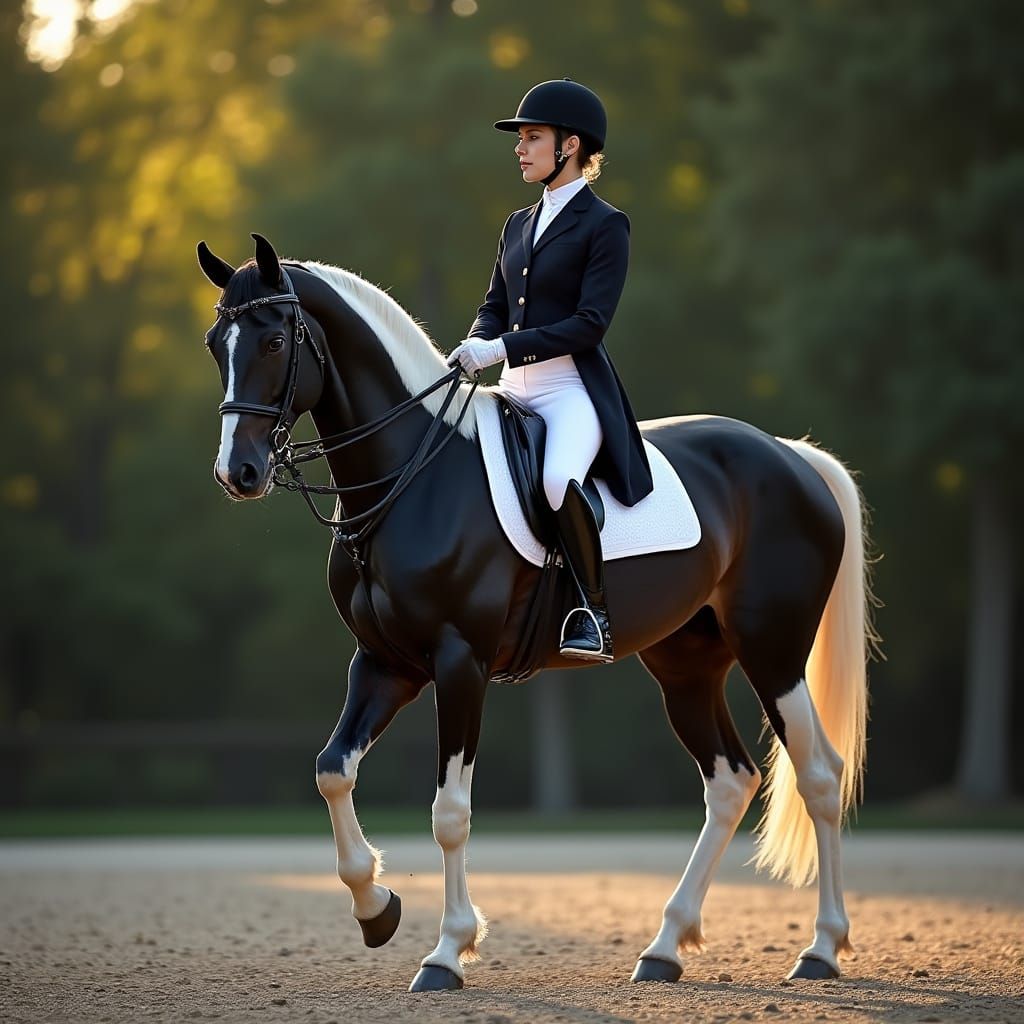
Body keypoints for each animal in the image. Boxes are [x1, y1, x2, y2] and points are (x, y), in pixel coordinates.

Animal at [197, 232, 876, 993]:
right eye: (216, 343)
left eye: (274, 341)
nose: (238, 474)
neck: (413, 478)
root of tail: (791, 456)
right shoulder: (384, 664)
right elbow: (331, 770)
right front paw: (377, 908)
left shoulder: (459, 663)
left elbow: (450, 813)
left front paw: (447, 952)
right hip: (686, 666)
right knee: (731, 781)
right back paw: (664, 947)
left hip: (773, 649)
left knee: (819, 775)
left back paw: (821, 949)